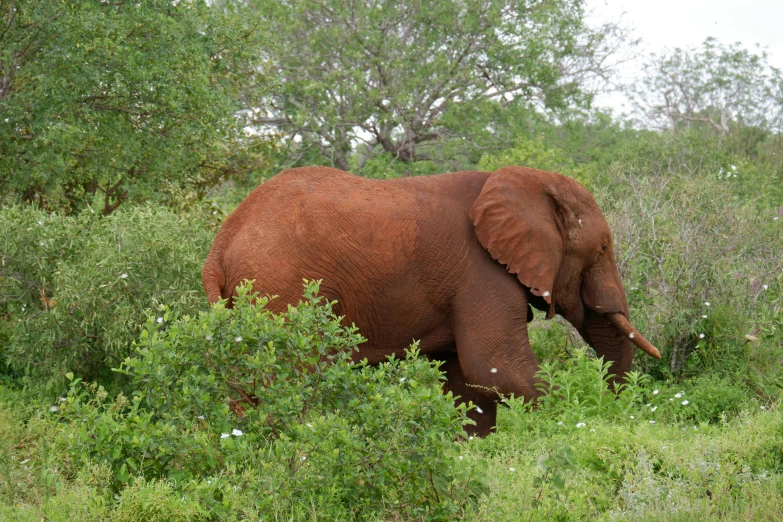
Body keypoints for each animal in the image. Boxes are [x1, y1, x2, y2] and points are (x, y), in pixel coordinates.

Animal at [204, 166, 660, 434]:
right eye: (601, 250)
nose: (614, 410)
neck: (525, 182)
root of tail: (221, 243)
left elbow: (468, 384)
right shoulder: (482, 274)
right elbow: (497, 367)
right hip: (279, 289)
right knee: (288, 377)